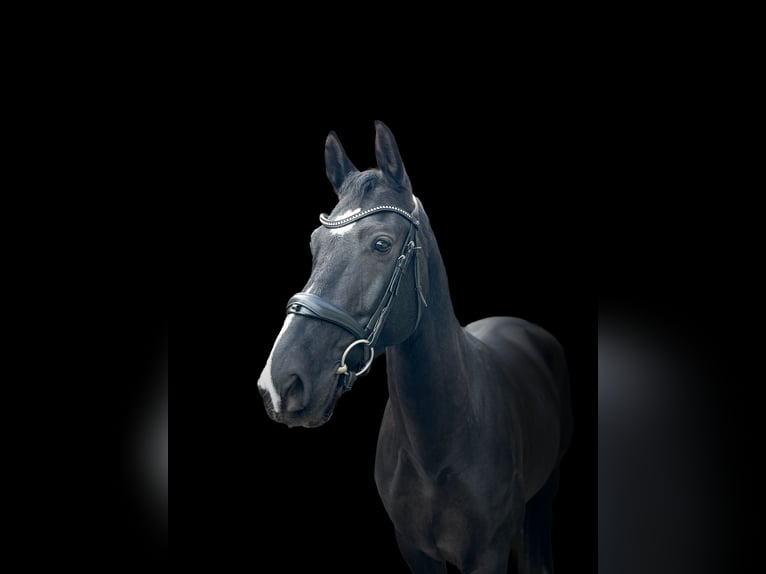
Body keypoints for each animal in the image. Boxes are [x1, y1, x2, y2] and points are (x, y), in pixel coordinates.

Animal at [257, 121, 572, 573]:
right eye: (315, 244)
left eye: (381, 244)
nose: (280, 383)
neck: (436, 452)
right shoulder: (414, 551)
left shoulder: (488, 555)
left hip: (546, 494)